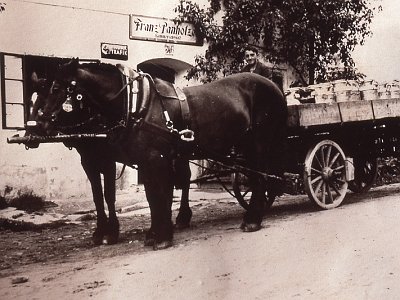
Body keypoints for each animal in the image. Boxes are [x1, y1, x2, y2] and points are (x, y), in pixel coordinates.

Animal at [34, 58, 288, 248]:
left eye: (56, 88)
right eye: (36, 94)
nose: (37, 126)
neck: (136, 103)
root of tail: (274, 86)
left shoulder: (151, 158)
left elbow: (153, 194)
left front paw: (161, 236)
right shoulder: (143, 160)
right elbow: (151, 195)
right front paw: (153, 233)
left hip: (258, 144)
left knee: (259, 178)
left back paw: (252, 220)